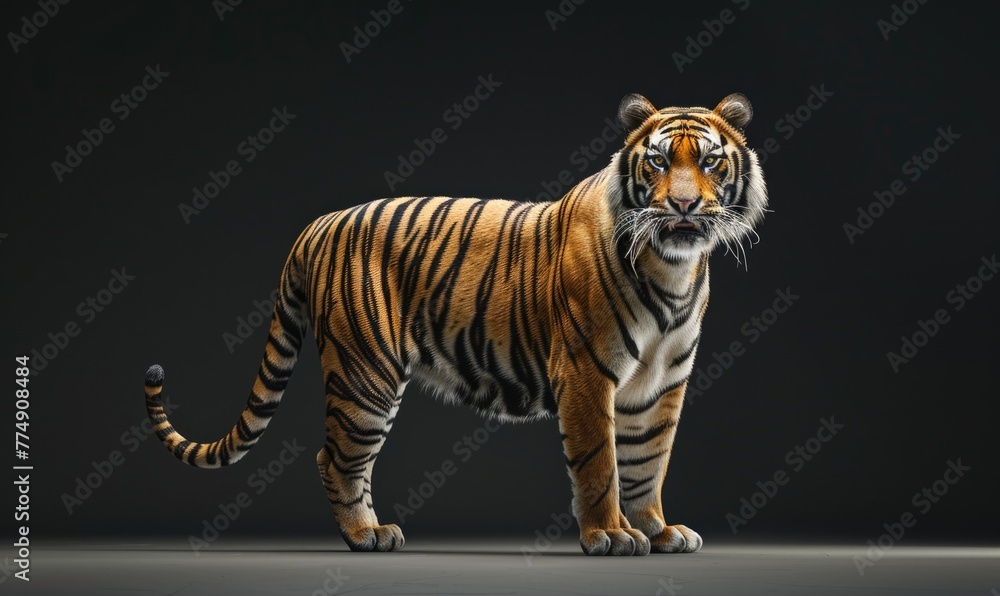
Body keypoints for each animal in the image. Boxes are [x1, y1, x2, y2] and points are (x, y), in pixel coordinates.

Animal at [143, 92, 767, 556]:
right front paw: (610, 535)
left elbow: (647, 463)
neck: (673, 267)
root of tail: (318, 224)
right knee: (337, 458)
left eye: (710, 161)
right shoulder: (587, 375)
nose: (683, 207)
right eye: (658, 161)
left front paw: (659, 531)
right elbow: (600, 464)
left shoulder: (662, 384)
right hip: (365, 373)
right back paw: (364, 536)